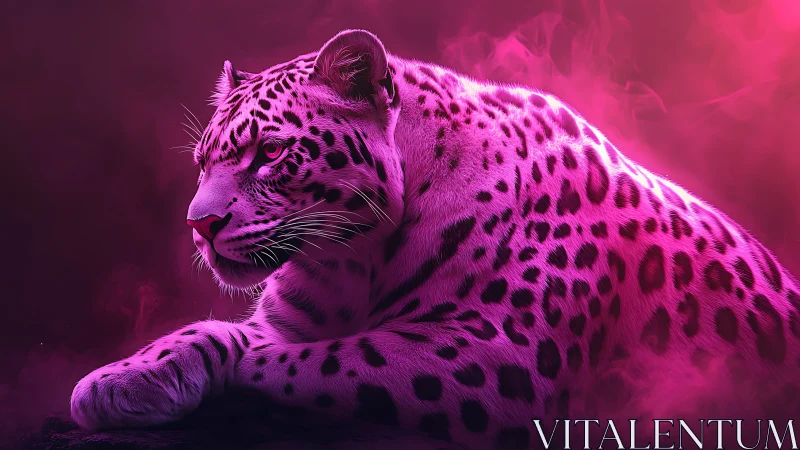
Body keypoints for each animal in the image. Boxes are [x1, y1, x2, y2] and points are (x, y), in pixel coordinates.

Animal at [71, 29, 800, 449]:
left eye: (269, 154)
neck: (345, 262)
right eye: (203, 163)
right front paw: (122, 379)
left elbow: (293, 358)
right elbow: (221, 334)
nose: (200, 224)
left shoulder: (495, 355)